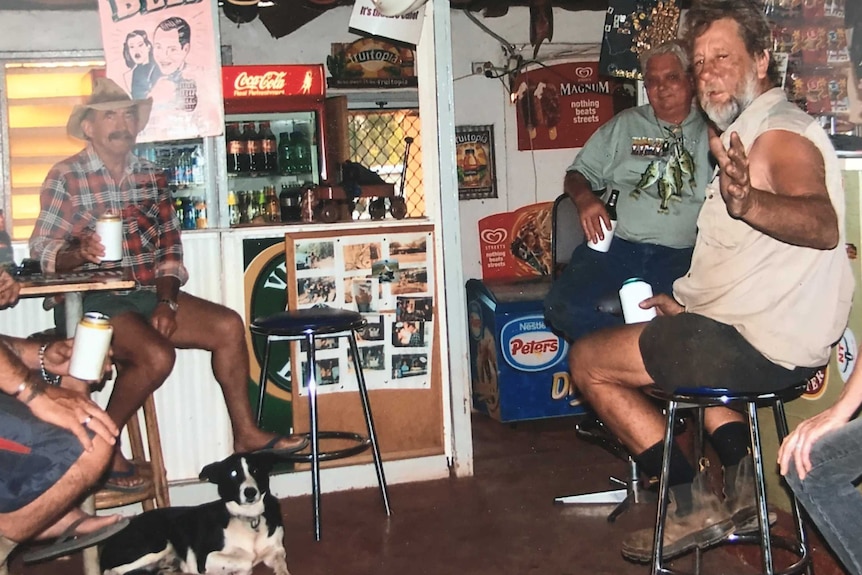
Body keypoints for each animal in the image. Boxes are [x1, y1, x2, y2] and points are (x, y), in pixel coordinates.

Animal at [99, 452, 290, 572]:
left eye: (255, 470)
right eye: (233, 473)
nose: (250, 492)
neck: (249, 518)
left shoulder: (276, 551)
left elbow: (282, 563)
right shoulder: (205, 558)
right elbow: (245, 561)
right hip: (157, 545)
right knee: (113, 572)